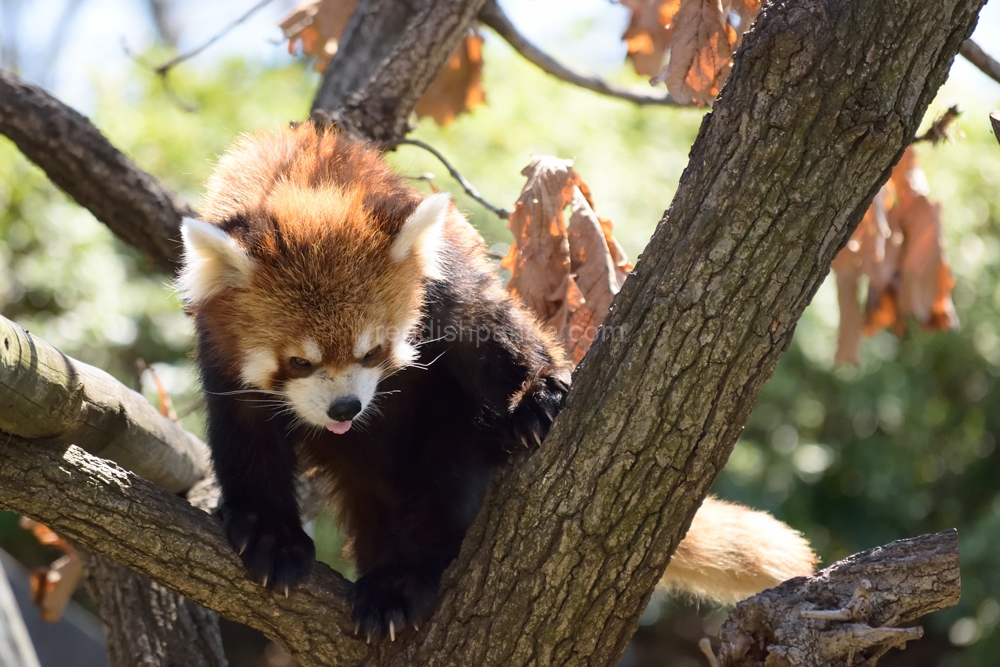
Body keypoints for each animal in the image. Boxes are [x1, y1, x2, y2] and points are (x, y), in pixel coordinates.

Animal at [180, 120, 816, 640]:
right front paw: (269, 533)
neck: (303, 182)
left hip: (455, 430)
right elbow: (245, 437)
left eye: (374, 351)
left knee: (448, 473)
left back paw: (402, 580)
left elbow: (494, 335)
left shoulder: (445, 283)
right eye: (299, 363)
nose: (344, 410)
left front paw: (541, 394)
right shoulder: (221, 353)